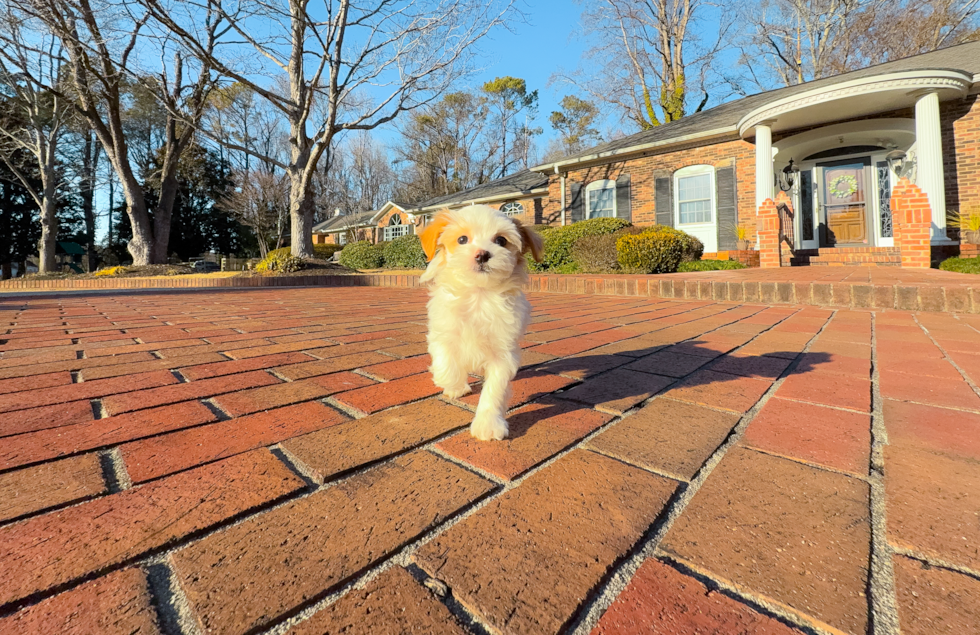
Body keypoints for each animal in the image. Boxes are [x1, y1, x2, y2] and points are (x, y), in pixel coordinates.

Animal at [420, 206, 548, 440]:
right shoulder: (442, 332)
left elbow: (494, 390)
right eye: (462, 239)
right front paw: (453, 384)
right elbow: (446, 362)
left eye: (501, 240)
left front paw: (488, 424)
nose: (482, 254)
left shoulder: (503, 353)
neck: (478, 295)